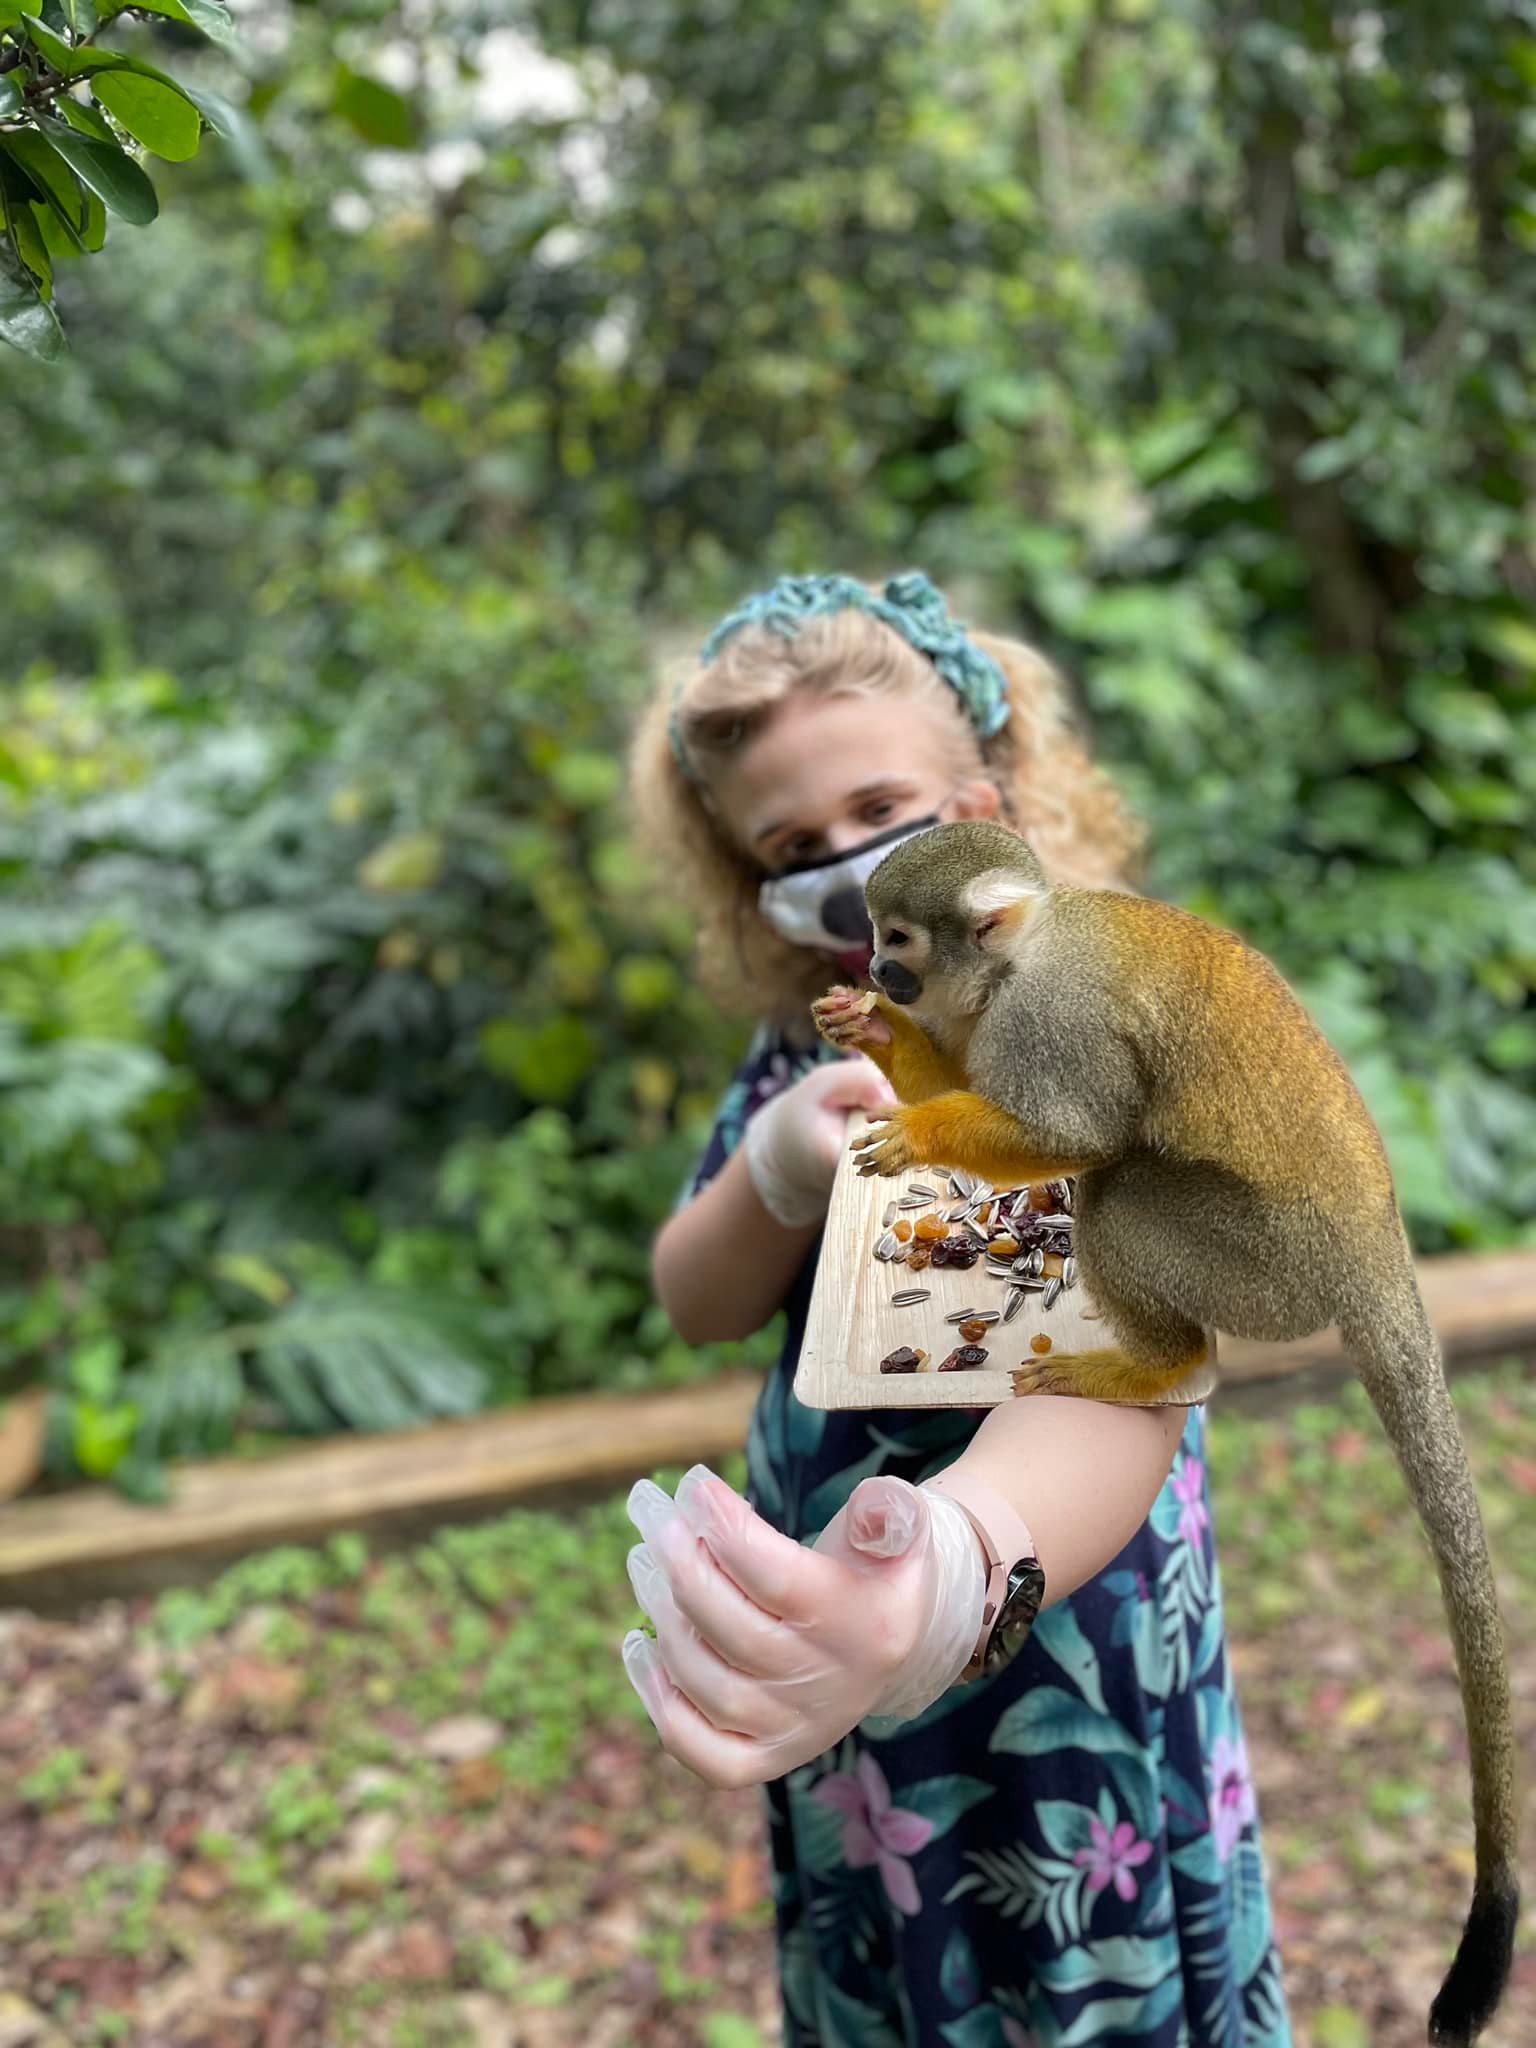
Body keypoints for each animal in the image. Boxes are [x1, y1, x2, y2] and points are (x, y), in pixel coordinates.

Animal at [809, 818, 1518, 2048]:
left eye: (899, 936)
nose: (882, 973)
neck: (1017, 958)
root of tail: (1376, 1250)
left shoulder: (1052, 1021)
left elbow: (1070, 1127)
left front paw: (916, 1128)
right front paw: (875, 1037)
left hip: (1272, 1271)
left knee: (1119, 1187)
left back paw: (1158, 1361)